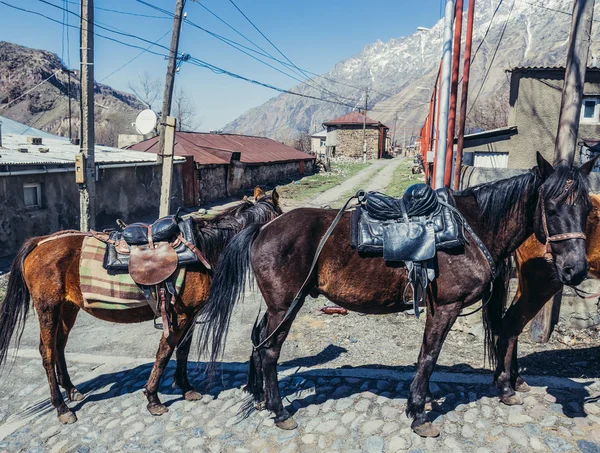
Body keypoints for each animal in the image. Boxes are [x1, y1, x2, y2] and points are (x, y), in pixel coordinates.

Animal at [0, 185, 282, 422]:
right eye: (281, 216)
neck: (201, 247)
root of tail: (39, 242)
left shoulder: (190, 315)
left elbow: (182, 351)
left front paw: (186, 388)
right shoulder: (179, 317)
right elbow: (165, 352)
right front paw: (153, 399)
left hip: (68, 307)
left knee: (59, 346)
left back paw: (71, 390)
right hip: (47, 307)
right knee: (47, 353)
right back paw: (62, 408)